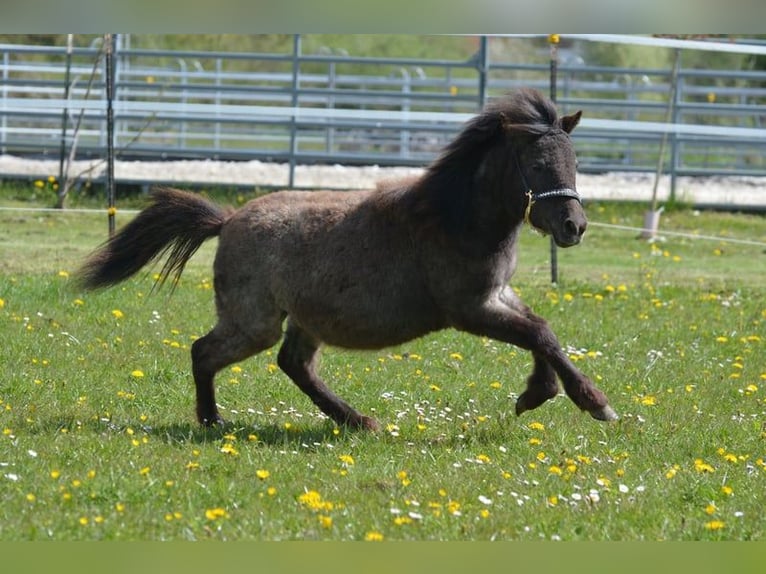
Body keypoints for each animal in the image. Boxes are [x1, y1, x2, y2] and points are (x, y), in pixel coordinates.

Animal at [76, 89, 616, 432]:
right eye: (537, 164)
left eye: (573, 161)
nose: (574, 226)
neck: (454, 219)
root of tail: (227, 221)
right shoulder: (470, 310)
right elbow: (538, 334)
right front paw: (594, 404)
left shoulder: (498, 294)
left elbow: (543, 331)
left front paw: (537, 394)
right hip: (255, 322)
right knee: (204, 352)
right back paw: (214, 422)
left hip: (303, 320)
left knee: (292, 364)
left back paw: (357, 421)